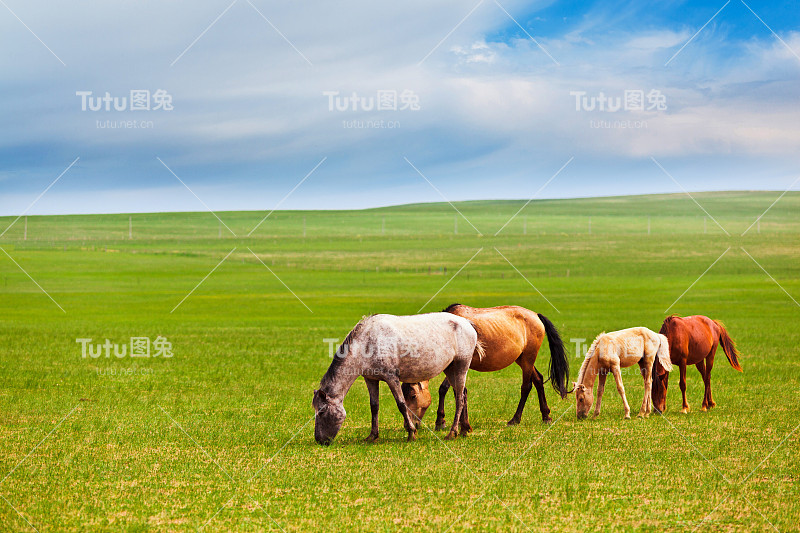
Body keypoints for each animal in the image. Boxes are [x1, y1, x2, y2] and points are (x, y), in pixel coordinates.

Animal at [312, 312, 478, 444]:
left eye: (321, 412)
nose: (320, 440)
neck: (367, 343)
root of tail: (466, 323)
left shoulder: (392, 378)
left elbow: (401, 404)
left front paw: (411, 433)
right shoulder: (371, 379)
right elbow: (374, 406)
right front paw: (372, 436)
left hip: (460, 367)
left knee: (459, 399)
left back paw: (452, 432)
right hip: (450, 370)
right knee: (461, 395)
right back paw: (464, 430)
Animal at [406, 304, 568, 428]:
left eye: (413, 396)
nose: (410, 423)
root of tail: (536, 315)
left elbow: (447, 388)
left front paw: (442, 421)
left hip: (528, 358)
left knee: (526, 387)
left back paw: (515, 419)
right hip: (522, 359)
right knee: (538, 380)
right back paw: (546, 416)